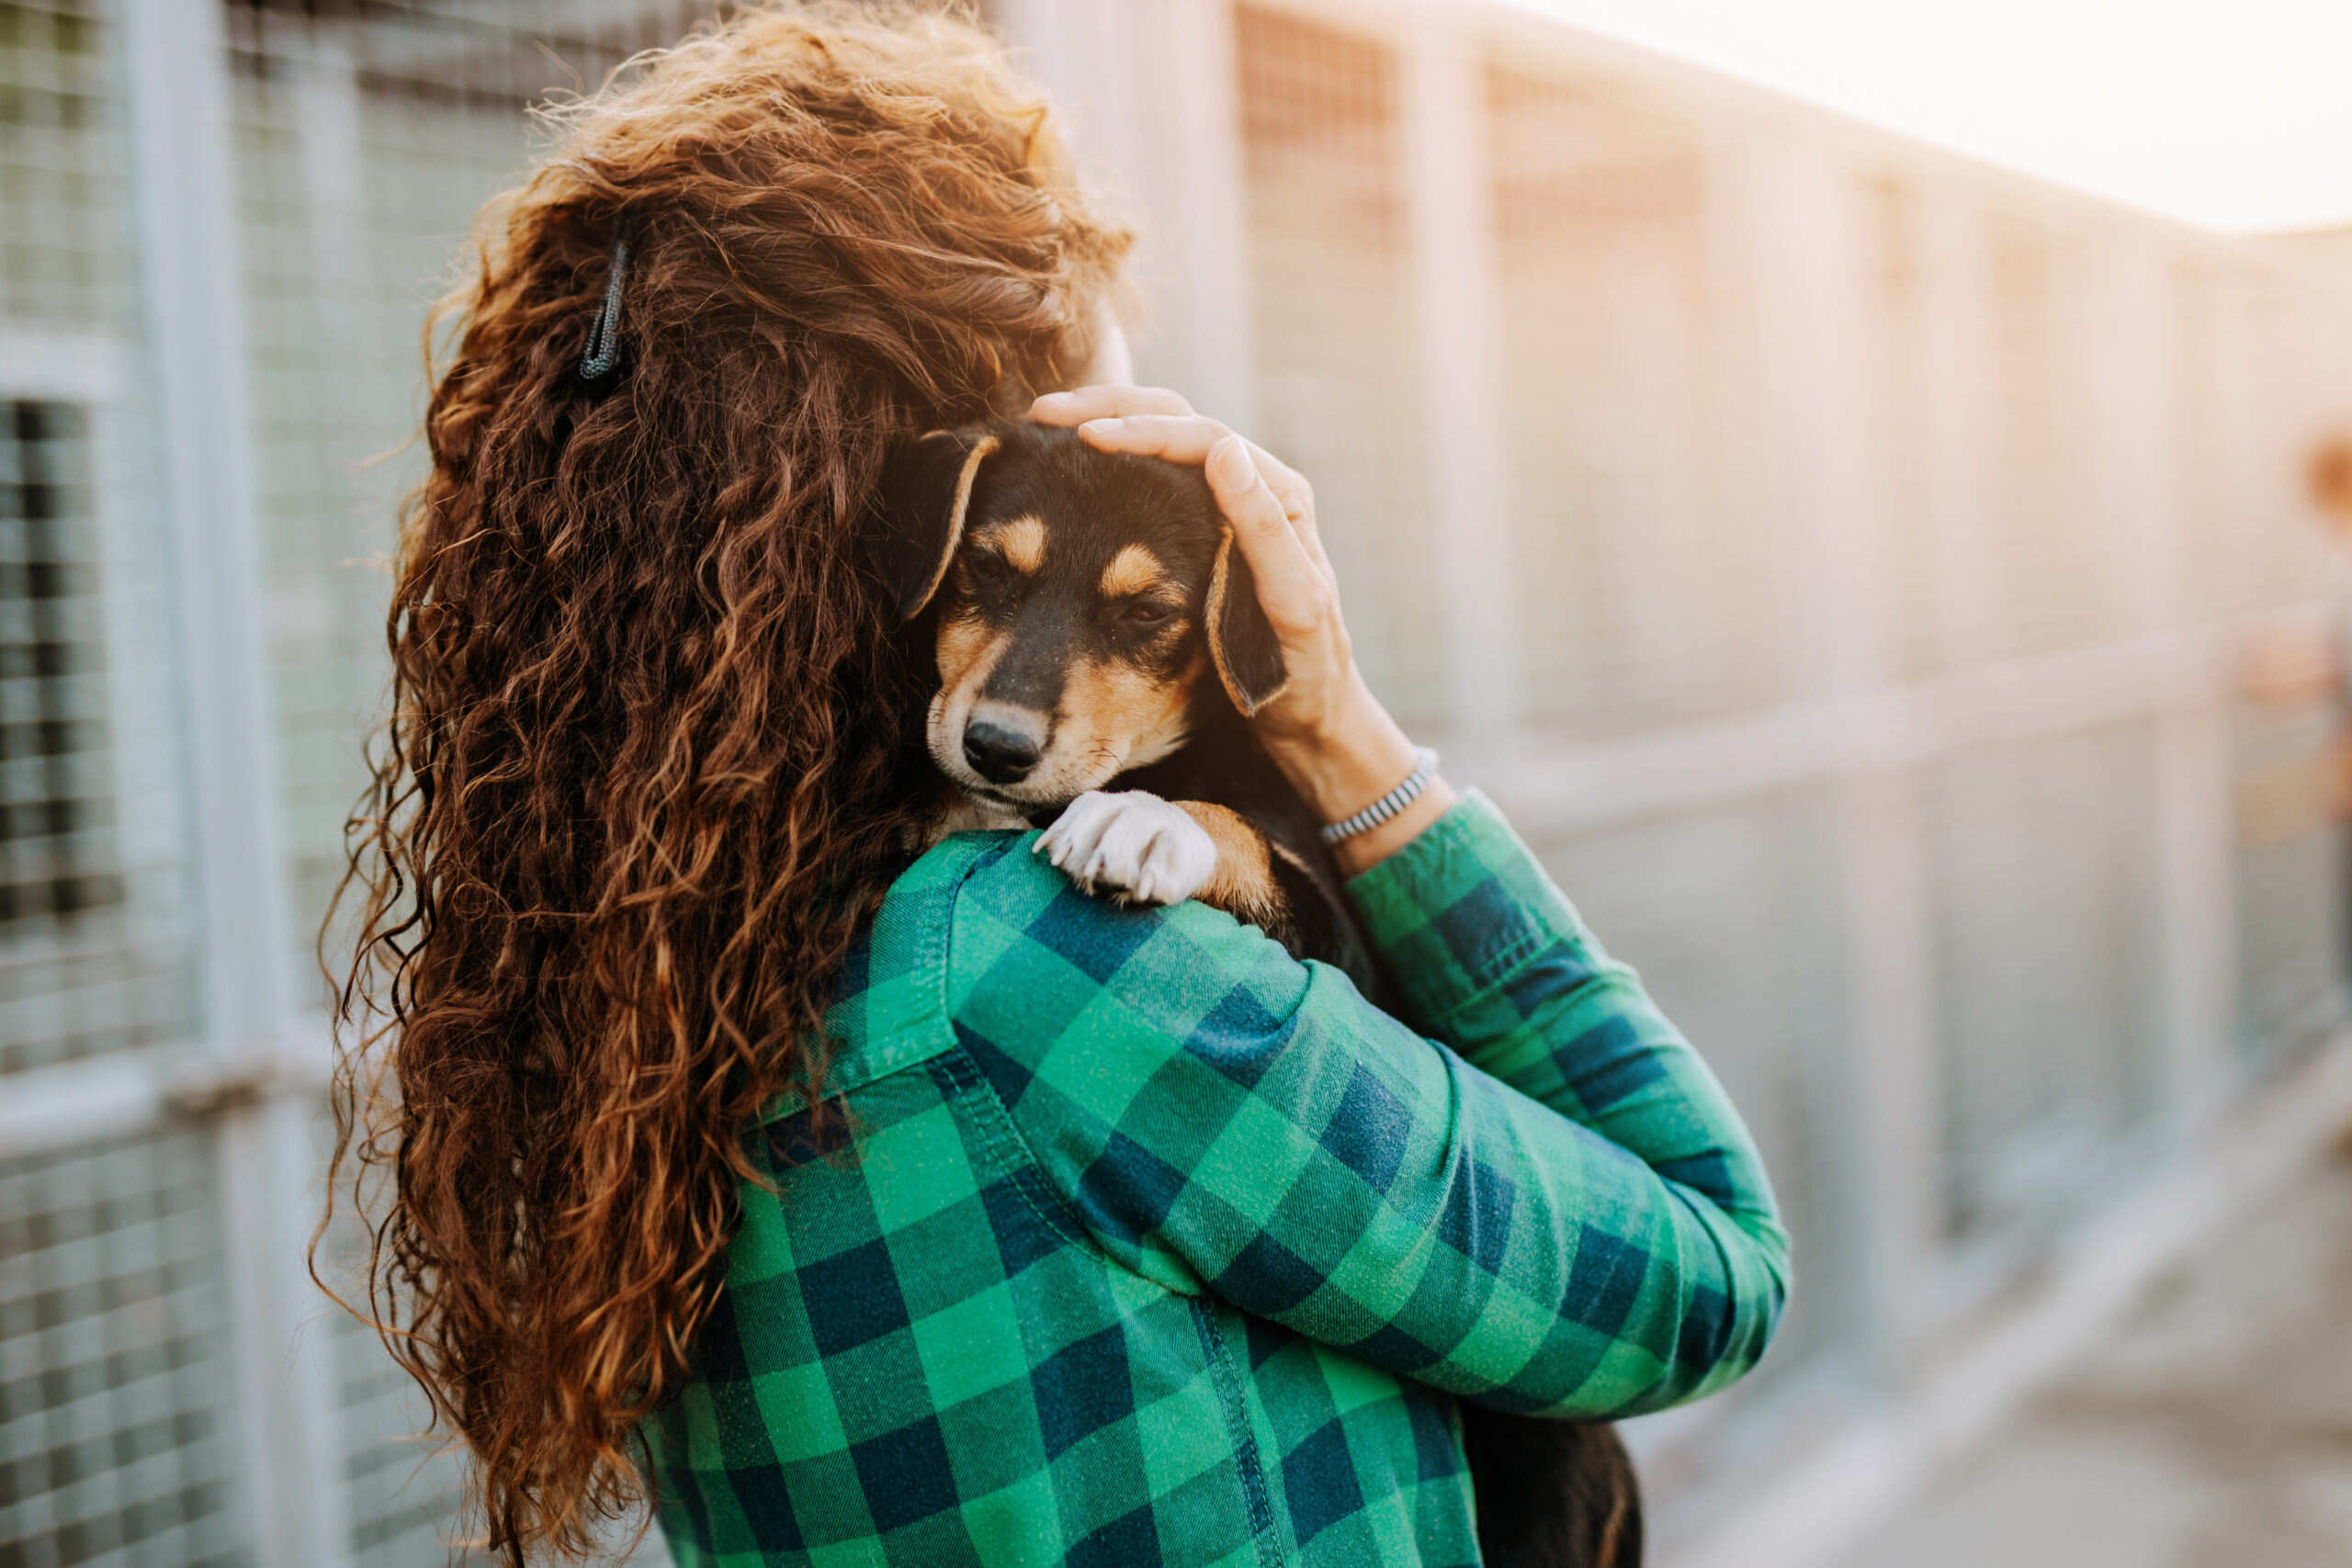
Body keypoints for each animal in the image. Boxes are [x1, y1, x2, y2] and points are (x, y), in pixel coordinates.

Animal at [865, 415, 1636, 1568]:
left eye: (1148, 616)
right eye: (985, 572)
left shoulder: (1340, 948)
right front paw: (939, 806)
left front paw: (1145, 824)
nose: (994, 747)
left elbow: (1234, 832)